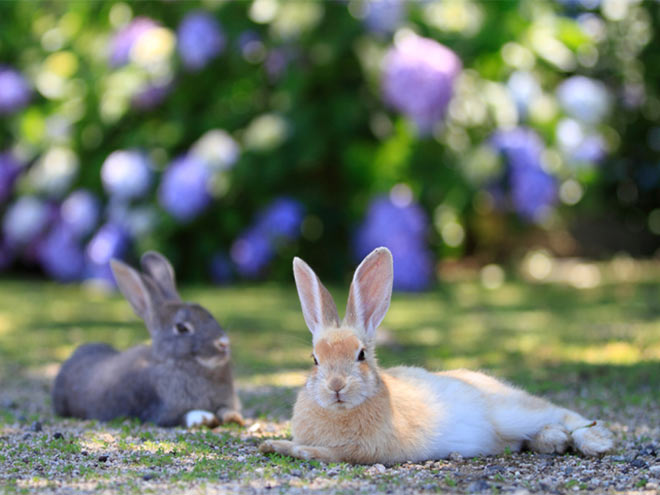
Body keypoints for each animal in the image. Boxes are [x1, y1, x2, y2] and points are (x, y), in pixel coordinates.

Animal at [51, 254, 242, 428]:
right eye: (181, 328)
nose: (223, 343)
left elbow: (225, 409)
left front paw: (233, 417)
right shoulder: (160, 411)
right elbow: (184, 416)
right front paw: (204, 418)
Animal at [260, 248, 616, 464]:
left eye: (360, 355)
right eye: (314, 359)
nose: (336, 386)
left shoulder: (363, 451)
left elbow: (325, 453)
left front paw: (280, 446)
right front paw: (272, 444)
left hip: (511, 411)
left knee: (563, 413)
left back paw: (596, 441)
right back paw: (554, 441)